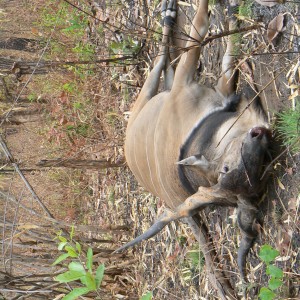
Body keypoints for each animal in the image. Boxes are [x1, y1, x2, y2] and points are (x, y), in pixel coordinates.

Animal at [117, 0, 272, 296]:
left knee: (166, 65)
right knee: (161, 60)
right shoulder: (187, 82)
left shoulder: (216, 88)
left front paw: (233, 18)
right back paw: (168, 14)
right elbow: (200, 26)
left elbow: (226, 57)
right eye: (226, 170)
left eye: (259, 178)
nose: (260, 134)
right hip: (145, 96)